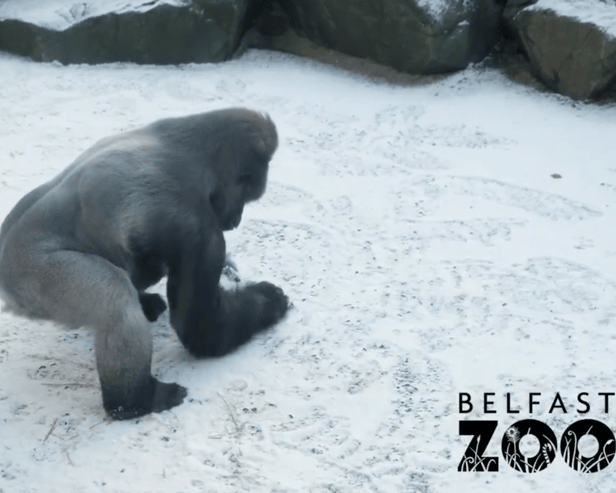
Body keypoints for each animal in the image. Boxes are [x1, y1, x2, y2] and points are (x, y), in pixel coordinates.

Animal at [0, 107, 290, 418]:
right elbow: (201, 330)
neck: (189, 146)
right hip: (28, 275)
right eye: (246, 197)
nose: (235, 220)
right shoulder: (200, 230)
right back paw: (135, 401)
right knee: (114, 298)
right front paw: (270, 302)